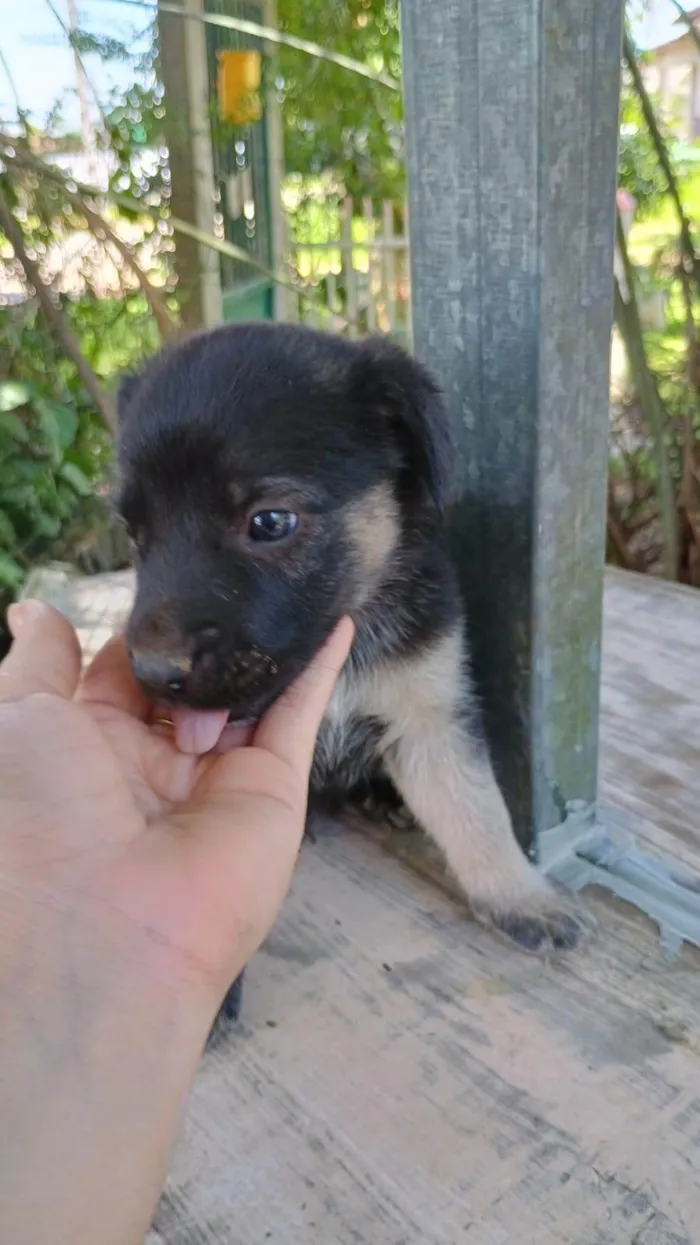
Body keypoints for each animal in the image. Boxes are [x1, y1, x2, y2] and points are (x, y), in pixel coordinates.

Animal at [115, 321, 582, 1030]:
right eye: (134, 533)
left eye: (269, 522)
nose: (151, 673)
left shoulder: (430, 719)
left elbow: (477, 810)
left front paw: (520, 896)